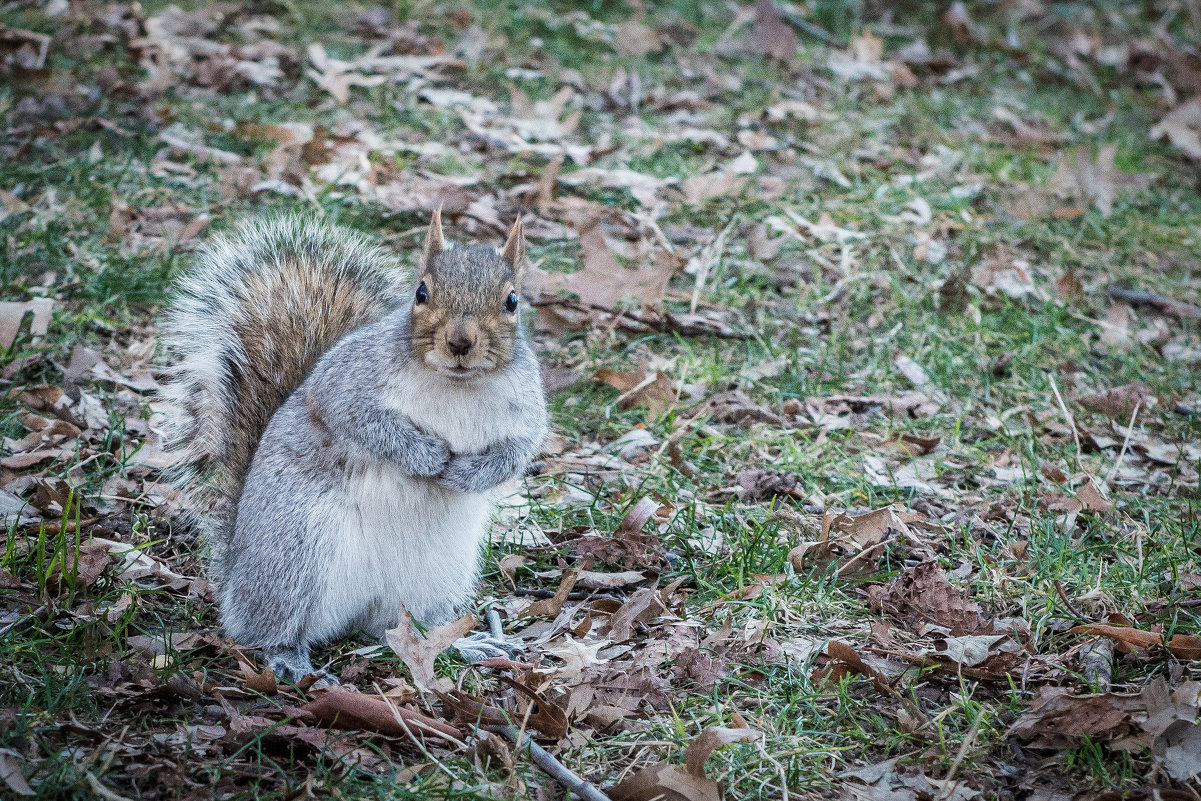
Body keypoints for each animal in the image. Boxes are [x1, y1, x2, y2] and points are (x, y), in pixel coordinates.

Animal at [159, 210, 550, 682]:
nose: (460, 342)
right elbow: (358, 420)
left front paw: (468, 473)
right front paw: (424, 455)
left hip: (436, 577)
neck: (457, 385)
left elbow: (517, 452)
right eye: (421, 293)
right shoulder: (346, 380)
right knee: (266, 628)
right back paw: (288, 658)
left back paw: (463, 644)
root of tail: (234, 574)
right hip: (294, 553)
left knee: (396, 628)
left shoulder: (527, 409)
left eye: (511, 301)